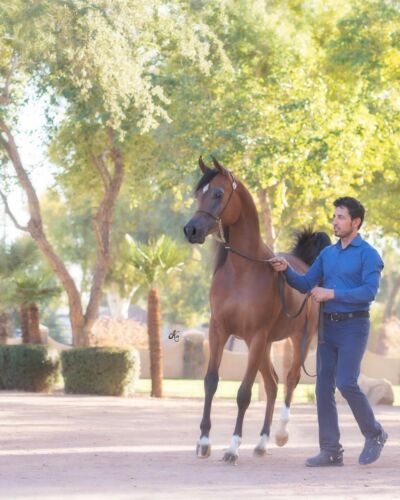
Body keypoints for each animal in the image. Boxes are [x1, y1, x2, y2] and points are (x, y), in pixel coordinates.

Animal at [183, 156, 331, 463]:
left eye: (218, 193)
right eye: (198, 193)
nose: (191, 230)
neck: (244, 272)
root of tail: (304, 264)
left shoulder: (257, 336)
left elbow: (243, 394)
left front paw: (232, 448)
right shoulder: (219, 331)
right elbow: (210, 382)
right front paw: (204, 442)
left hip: (297, 340)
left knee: (291, 380)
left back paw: (281, 434)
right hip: (263, 346)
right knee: (273, 385)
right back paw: (262, 443)